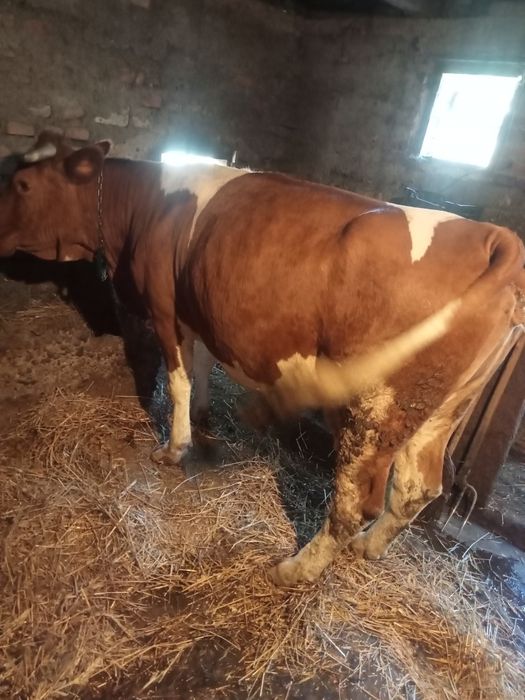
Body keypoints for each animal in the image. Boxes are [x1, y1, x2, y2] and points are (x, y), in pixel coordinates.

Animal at [1, 131, 524, 586]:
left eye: (23, 184)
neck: (145, 206)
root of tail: (491, 236)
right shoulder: (198, 308)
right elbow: (202, 366)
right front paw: (204, 417)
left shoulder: (165, 308)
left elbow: (177, 379)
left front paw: (174, 447)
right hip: (441, 409)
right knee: (418, 487)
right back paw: (368, 548)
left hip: (377, 406)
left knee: (355, 502)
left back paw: (295, 570)